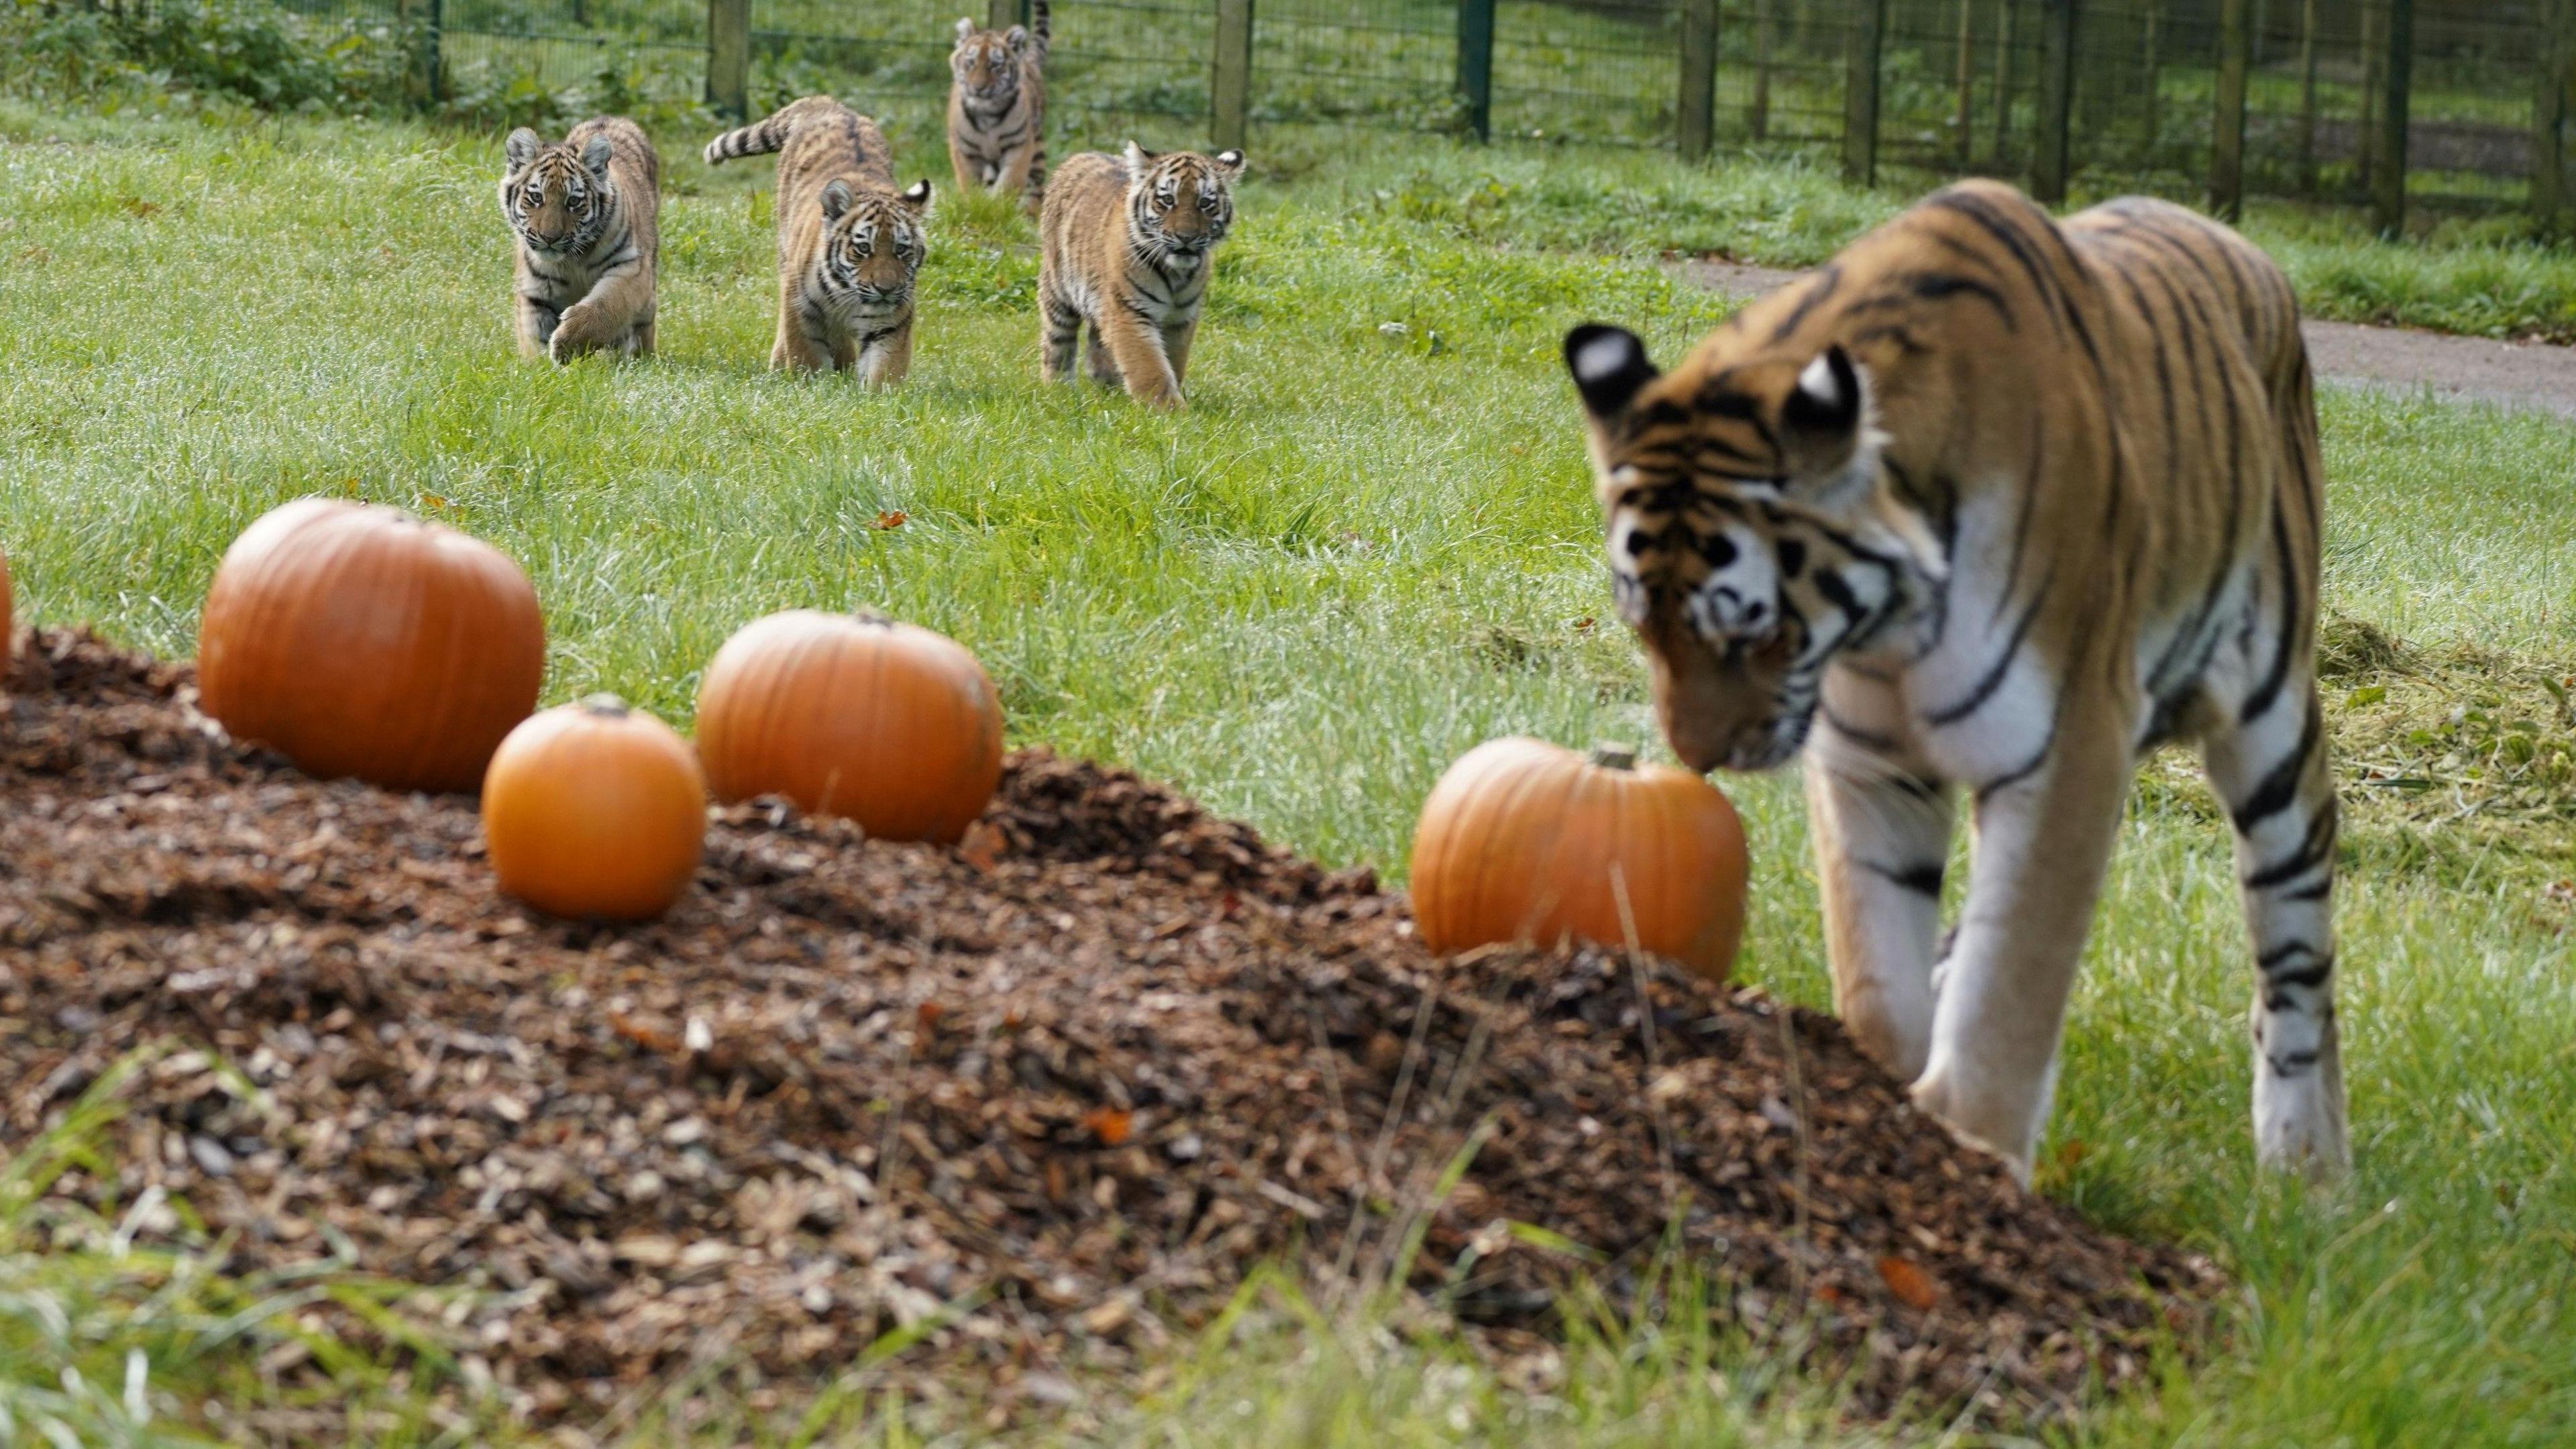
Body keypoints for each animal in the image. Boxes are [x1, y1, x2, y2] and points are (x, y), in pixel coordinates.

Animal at [1556, 175, 2349, 1181]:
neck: (1885, 632)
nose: (1697, 757)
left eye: (1754, 634)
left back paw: (2308, 1165)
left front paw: (1973, 1149)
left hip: (2272, 733)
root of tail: (2244, 246)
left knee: (2296, 962)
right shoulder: (1867, 765)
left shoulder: (2069, 752)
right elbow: (1881, 982)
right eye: (1644, 628)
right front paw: (1887, 1097)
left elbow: (2011, 990)